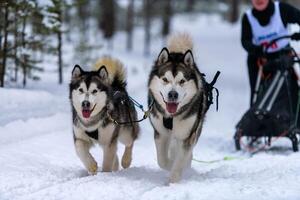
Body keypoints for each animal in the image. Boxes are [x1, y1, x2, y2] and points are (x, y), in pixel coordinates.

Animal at [148, 34, 209, 183]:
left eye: (182, 81)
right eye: (165, 79)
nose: (173, 94)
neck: (172, 117)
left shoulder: (186, 135)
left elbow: (181, 159)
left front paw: (174, 179)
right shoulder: (160, 133)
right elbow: (162, 160)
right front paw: (170, 164)